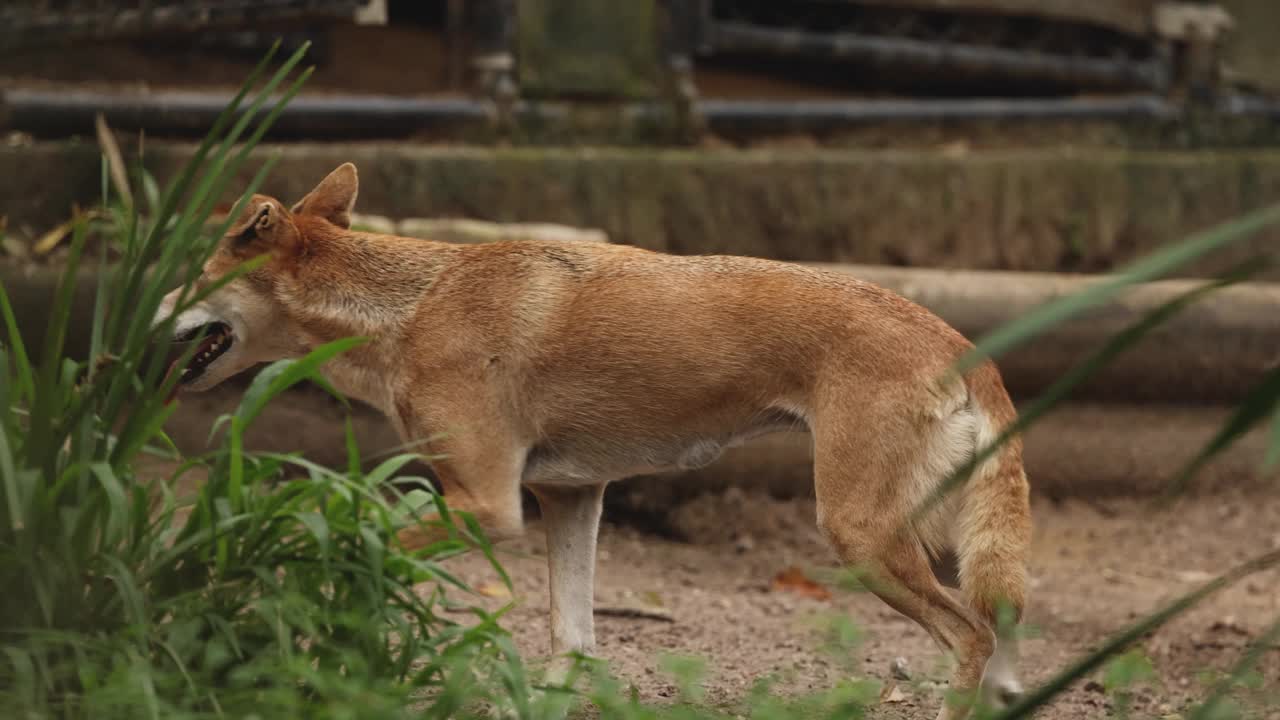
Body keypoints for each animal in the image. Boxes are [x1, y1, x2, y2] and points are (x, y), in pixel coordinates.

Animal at [152, 163, 1029, 717]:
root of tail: (963, 341)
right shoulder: (568, 498)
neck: (413, 308)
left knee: (972, 635)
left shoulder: (489, 505)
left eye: (185, 279)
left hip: (859, 535)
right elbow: (570, 642)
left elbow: (338, 538)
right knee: (997, 643)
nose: (143, 317)